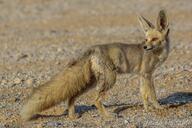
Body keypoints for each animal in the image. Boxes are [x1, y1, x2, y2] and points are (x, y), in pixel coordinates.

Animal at [19, 10, 170, 121]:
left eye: (154, 39)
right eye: (146, 39)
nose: (145, 47)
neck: (158, 53)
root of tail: (93, 48)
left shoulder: (142, 75)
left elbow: (143, 94)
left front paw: (146, 109)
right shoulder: (147, 74)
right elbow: (152, 94)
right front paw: (158, 108)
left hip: (90, 82)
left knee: (71, 97)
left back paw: (72, 116)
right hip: (110, 79)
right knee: (96, 100)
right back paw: (108, 116)